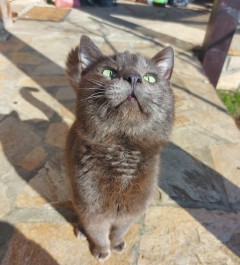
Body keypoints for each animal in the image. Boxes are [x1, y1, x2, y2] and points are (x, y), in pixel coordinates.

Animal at [65, 36, 174, 260]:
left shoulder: (132, 211)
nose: (133, 77)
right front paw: (101, 251)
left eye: (150, 78)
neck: (123, 150)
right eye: (109, 72)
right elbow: (98, 234)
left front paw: (116, 244)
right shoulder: (92, 210)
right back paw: (80, 230)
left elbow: (119, 231)